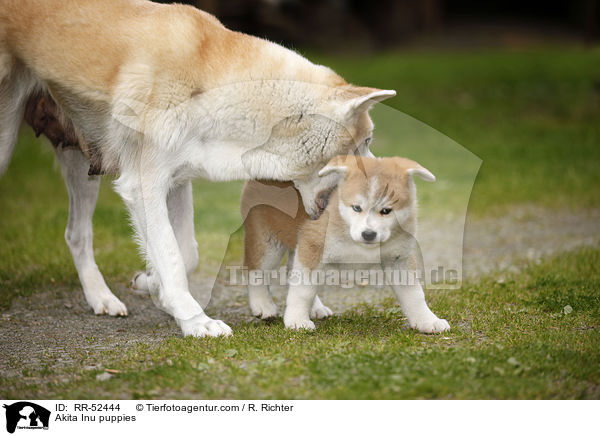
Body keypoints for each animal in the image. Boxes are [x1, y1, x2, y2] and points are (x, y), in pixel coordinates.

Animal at [0, 0, 396, 338]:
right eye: (364, 143)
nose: (385, 182)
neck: (210, 83)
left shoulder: (176, 182)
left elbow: (185, 253)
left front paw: (154, 287)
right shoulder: (144, 185)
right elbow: (172, 257)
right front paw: (195, 322)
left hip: (82, 162)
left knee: (76, 234)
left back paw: (102, 299)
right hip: (10, 140)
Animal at [239, 155, 450, 332]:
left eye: (386, 210)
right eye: (356, 207)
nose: (368, 234)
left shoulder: (399, 259)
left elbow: (415, 295)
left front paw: (427, 321)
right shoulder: (312, 245)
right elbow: (302, 290)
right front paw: (297, 320)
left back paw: (316, 308)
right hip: (269, 244)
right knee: (254, 270)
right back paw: (262, 305)